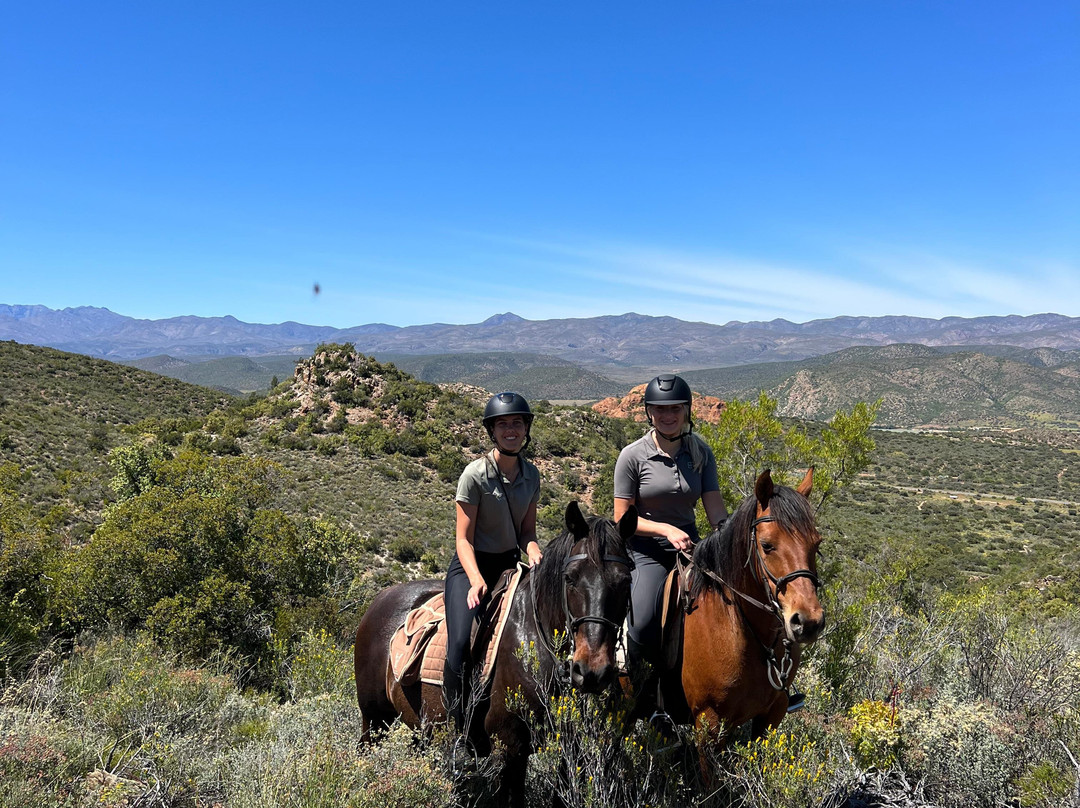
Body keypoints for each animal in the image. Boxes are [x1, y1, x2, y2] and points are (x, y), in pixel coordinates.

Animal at [354, 501, 637, 807]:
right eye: (570, 578)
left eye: (625, 581)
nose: (591, 671)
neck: (534, 639)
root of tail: (380, 599)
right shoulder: (509, 747)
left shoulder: (570, 749)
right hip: (375, 719)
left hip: (418, 726)